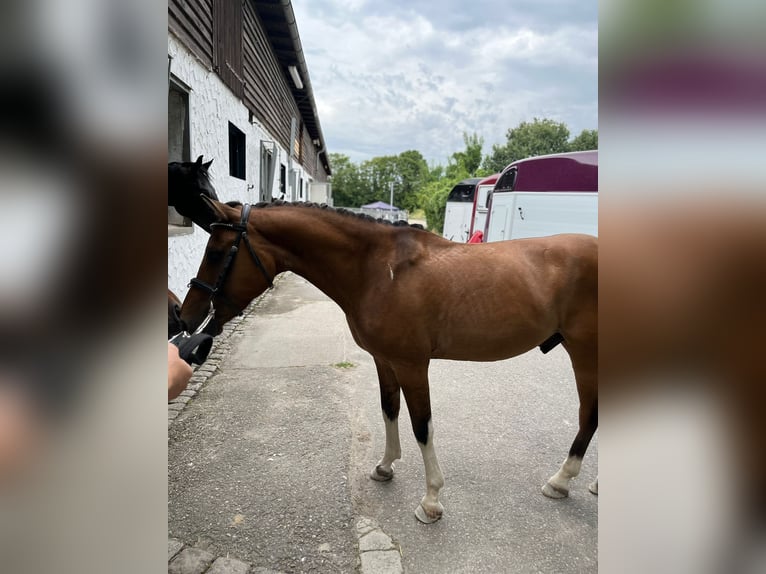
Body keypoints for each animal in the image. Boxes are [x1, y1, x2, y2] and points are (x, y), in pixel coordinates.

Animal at [179, 198, 598, 523]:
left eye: (216, 253)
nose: (185, 317)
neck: (379, 270)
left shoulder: (412, 365)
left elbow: (422, 426)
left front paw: (431, 501)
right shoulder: (385, 360)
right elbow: (389, 410)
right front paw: (385, 466)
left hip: (585, 353)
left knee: (589, 416)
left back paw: (561, 481)